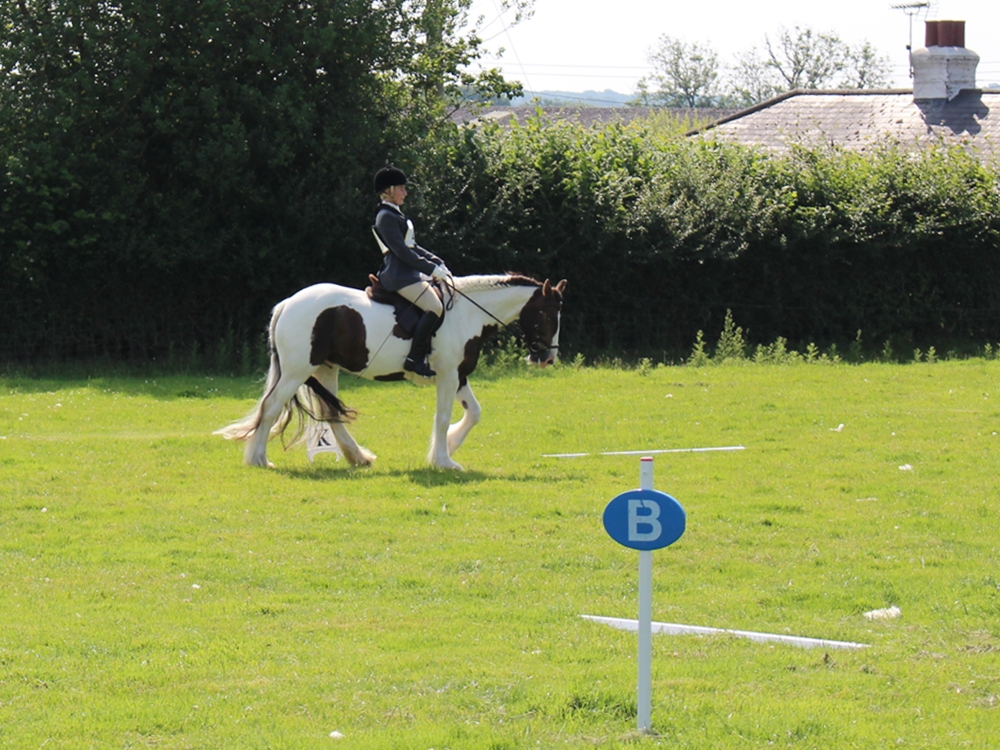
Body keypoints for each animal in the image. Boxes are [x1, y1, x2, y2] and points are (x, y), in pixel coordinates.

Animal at [215, 273, 566, 471]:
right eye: (549, 315)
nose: (548, 359)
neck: (467, 313)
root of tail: (288, 303)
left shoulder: (459, 375)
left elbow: (474, 413)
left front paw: (449, 446)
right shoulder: (448, 376)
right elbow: (442, 417)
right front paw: (443, 461)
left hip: (326, 369)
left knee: (330, 413)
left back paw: (359, 458)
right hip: (298, 370)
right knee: (272, 408)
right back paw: (258, 459)